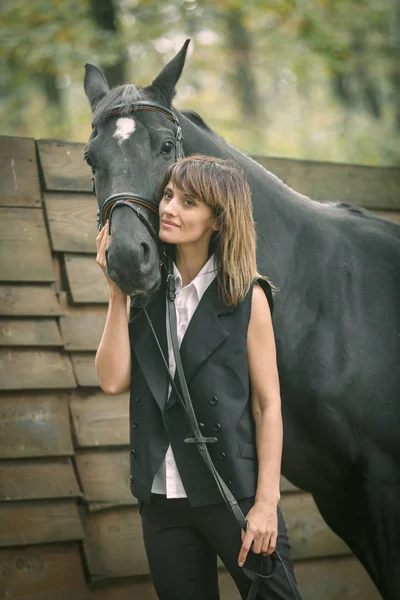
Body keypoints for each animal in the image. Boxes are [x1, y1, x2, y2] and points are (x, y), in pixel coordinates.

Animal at [84, 39, 400, 596]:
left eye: (167, 146)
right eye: (90, 158)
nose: (125, 259)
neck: (328, 298)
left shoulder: (384, 485)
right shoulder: (340, 496)